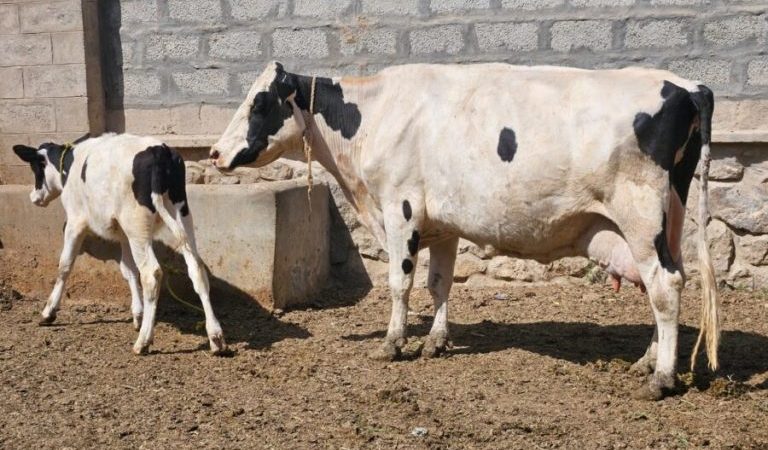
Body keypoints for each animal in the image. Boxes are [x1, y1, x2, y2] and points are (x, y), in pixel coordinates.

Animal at [12, 133, 227, 355]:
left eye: (36, 169)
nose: (33, 197)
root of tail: (159, 150)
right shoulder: (123, 234)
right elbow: (129, 270)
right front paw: (138, 315)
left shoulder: (75, 221)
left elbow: (64, 265)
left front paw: (49, 311)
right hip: (181, 215)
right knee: (197, 268)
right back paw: (216, 337)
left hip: (137, 225)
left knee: (151, 274)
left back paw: (143, 341)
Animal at [210, 61, 718, 400]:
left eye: (259, 102)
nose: (214, 153)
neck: (374, 115)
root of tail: (687, 85)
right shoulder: (442, 225)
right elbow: (439, 284)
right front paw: (436, 341)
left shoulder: (401, 210)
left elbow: (400, 284)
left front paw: (392, 344)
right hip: (668, 219)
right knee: (665, 285)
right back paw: (647, 361)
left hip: (641, 217)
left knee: (664, 285)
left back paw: (662, 378)